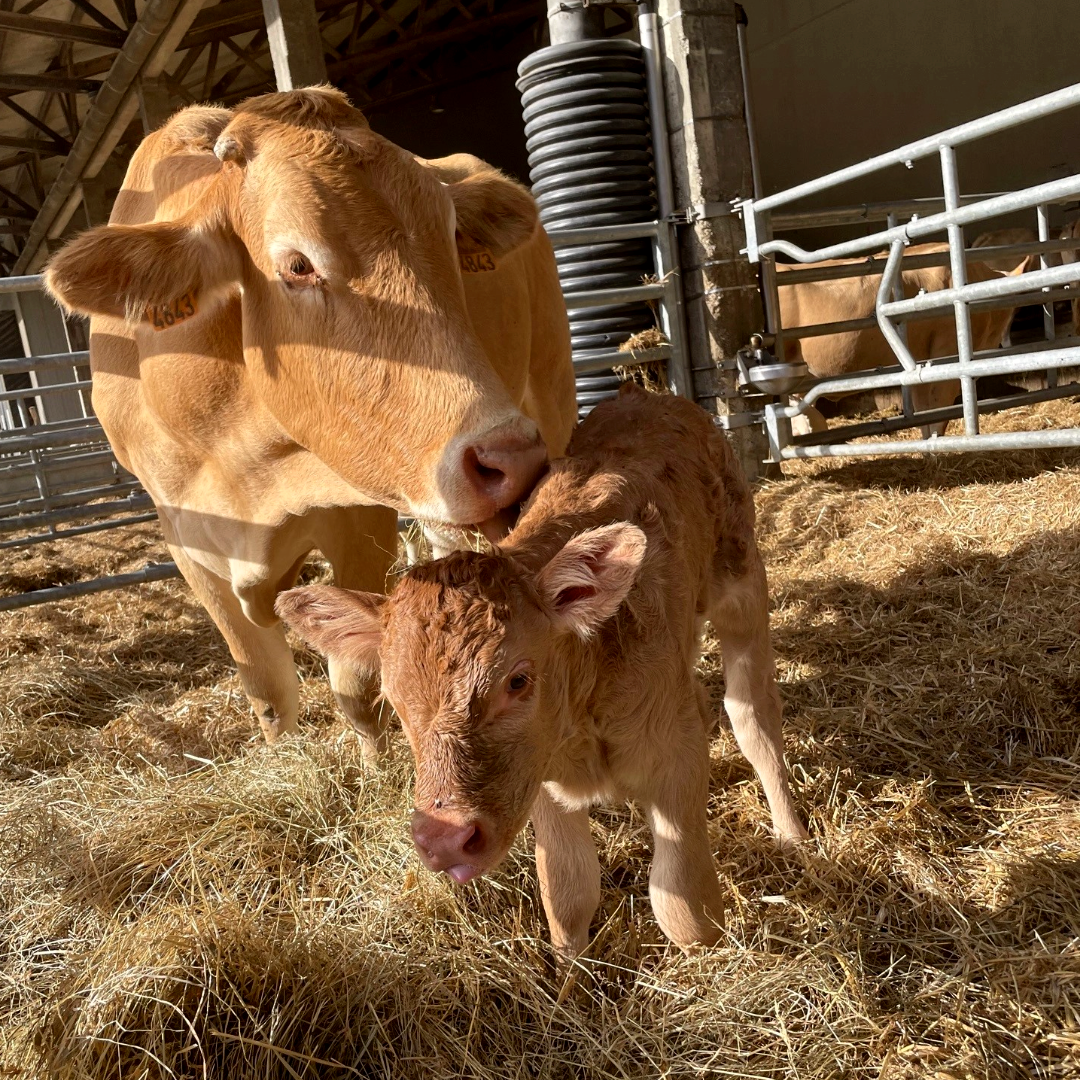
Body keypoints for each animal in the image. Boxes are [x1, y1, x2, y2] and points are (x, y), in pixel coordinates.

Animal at [45, 86, 578, 751]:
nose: (510, 456)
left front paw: (375, 761)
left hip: (550, 390)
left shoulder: (360, 514)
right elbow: (268, 691)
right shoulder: (184, 534)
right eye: (298, 265)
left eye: (452, 237)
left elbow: (353, 684)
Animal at [274, 384, 807, 959]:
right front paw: (571, 971)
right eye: (394, 701)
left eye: (518, 680)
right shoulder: (539, 782)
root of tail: (644, 392)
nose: (443, 841)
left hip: (742, 582)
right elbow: (568, 889)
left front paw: (708, 960)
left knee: (753, 715)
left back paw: (792, 832)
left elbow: (683, 903)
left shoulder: (677, 749)